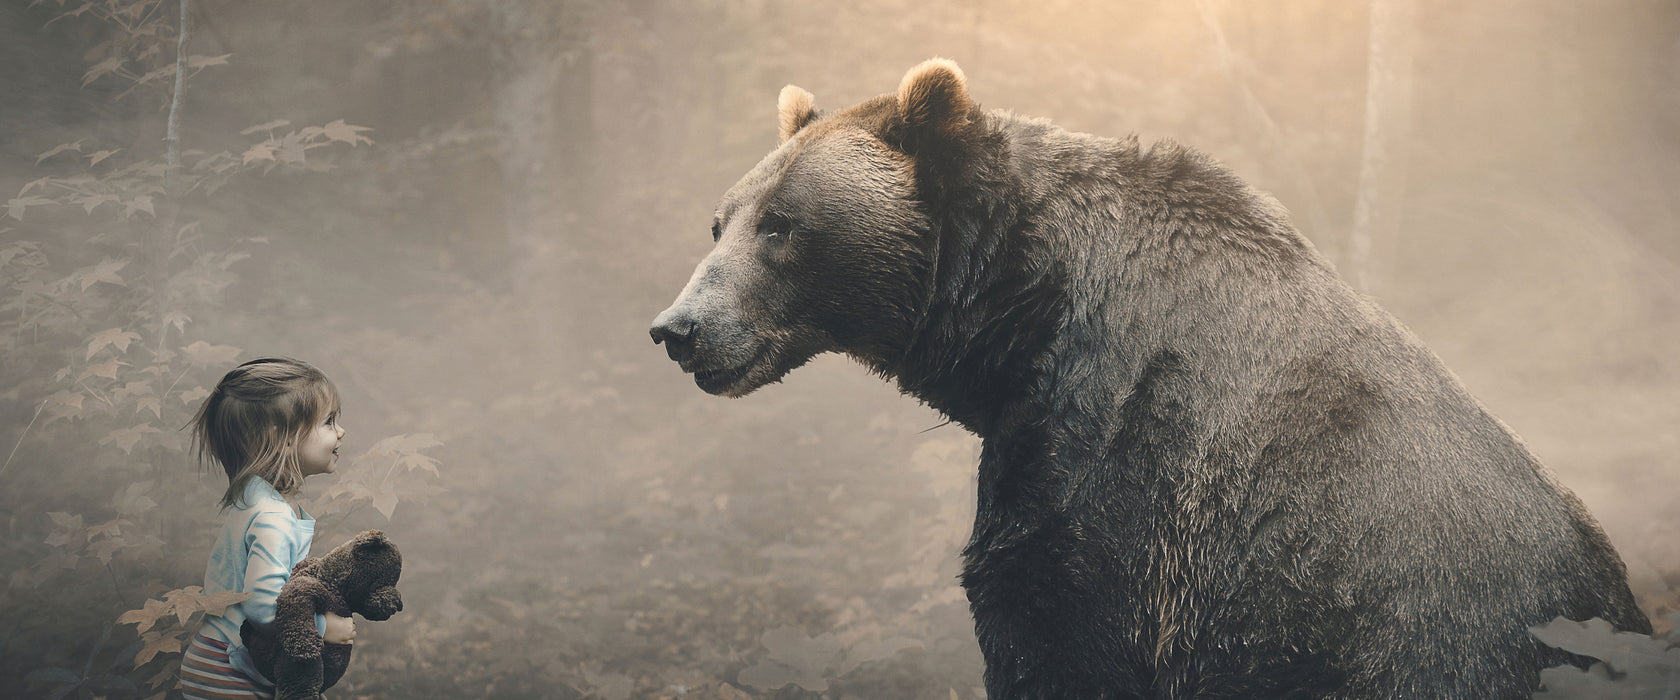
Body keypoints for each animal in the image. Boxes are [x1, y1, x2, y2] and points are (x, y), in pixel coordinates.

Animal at [648, 57, 1646, 694]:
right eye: (720, 221)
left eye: (781, 225)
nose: (677, 330)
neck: (1020, 322)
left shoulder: (1125, 469)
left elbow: (1058, 625)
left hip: (1438, 640)